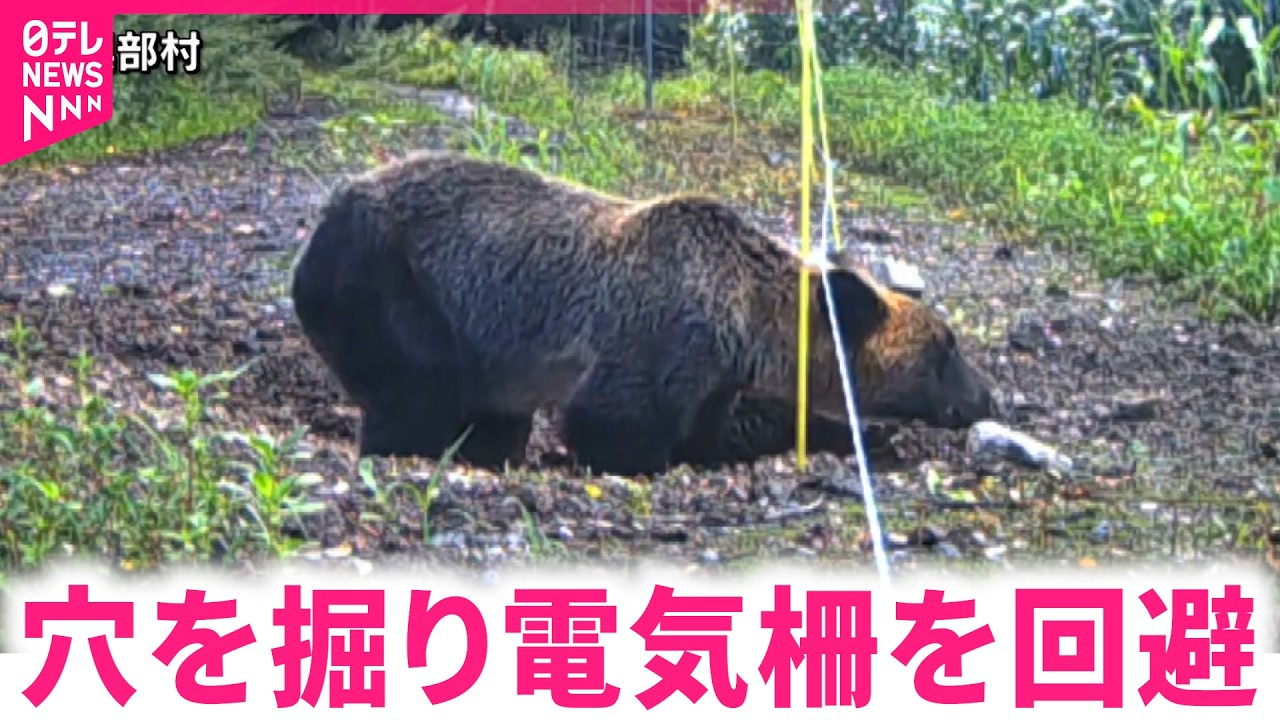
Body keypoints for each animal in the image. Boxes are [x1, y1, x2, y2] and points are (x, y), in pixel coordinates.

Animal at [290, 150, 998, 476]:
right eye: (947, 348)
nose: (988, 395)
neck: (748, 321)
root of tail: (322, 217)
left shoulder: (714, 375)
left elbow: (713, 432)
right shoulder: (661, 328)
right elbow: (614, 419)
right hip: (395, 283)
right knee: (419, 389)